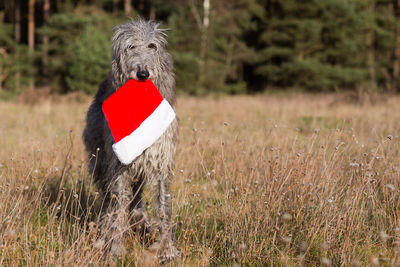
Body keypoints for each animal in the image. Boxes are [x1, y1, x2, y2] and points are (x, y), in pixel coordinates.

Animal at [83, 19, 180, 264]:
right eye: (130, 47)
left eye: (152, 46)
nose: (143, 73)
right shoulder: (118, 163)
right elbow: (117, 208)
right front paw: (116, 249)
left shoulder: (160, 160)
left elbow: (164, 207)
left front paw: (168, 250)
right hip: (100, 160)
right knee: (108, 202)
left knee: (136, 200)